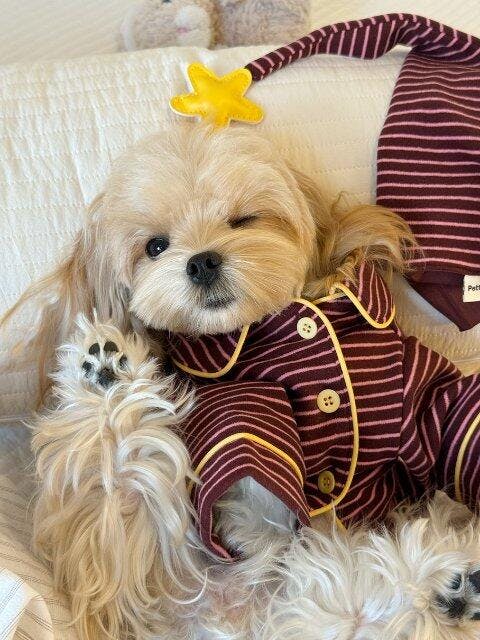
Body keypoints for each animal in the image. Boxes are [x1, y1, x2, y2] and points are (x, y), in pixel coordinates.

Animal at [3, 123, 480, 640]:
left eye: (244, 220)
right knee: (117, 477)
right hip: (133, 537)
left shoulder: (414, 382)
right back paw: (104, 376)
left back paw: (450, 589)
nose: (201, 262)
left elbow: (451, 416)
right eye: (155, 246)